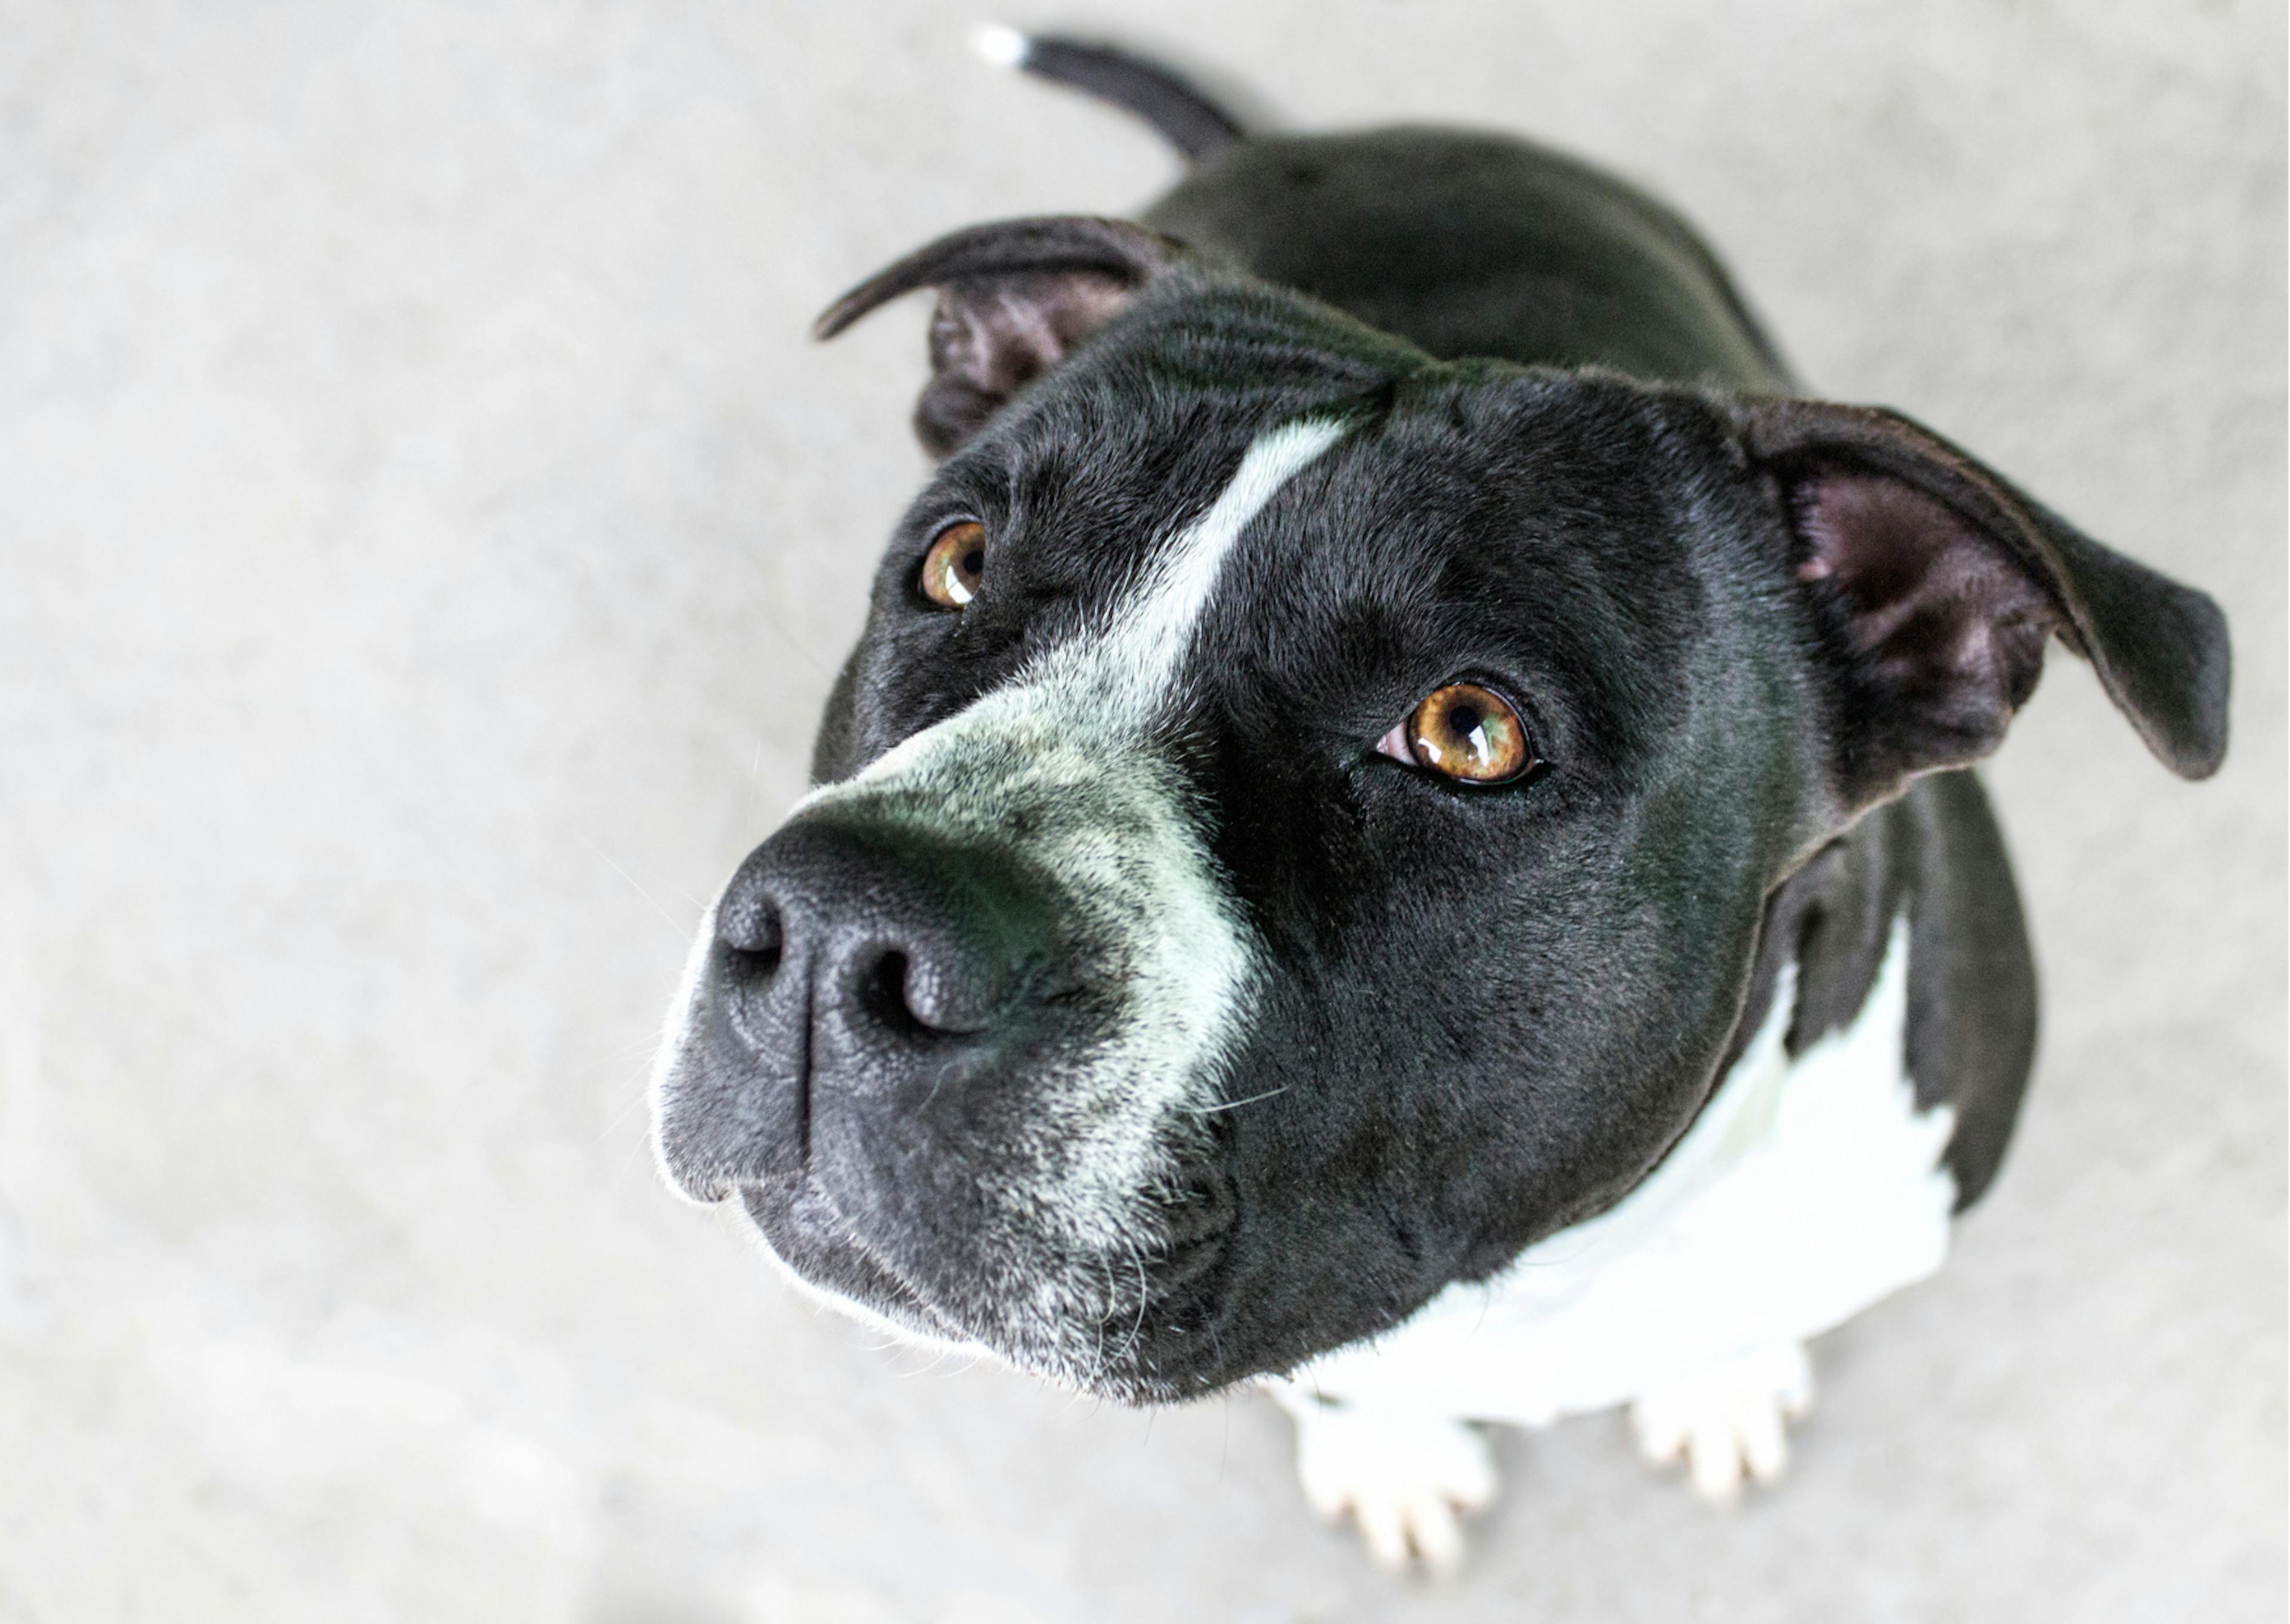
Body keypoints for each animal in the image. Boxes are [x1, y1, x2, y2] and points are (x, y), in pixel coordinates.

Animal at [655, 35, 2226, 1566]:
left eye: (1468, 732)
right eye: (958, 561)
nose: (842, 931)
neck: (1544, 1282)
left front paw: (1723, 1379)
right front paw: (1393, 1454)